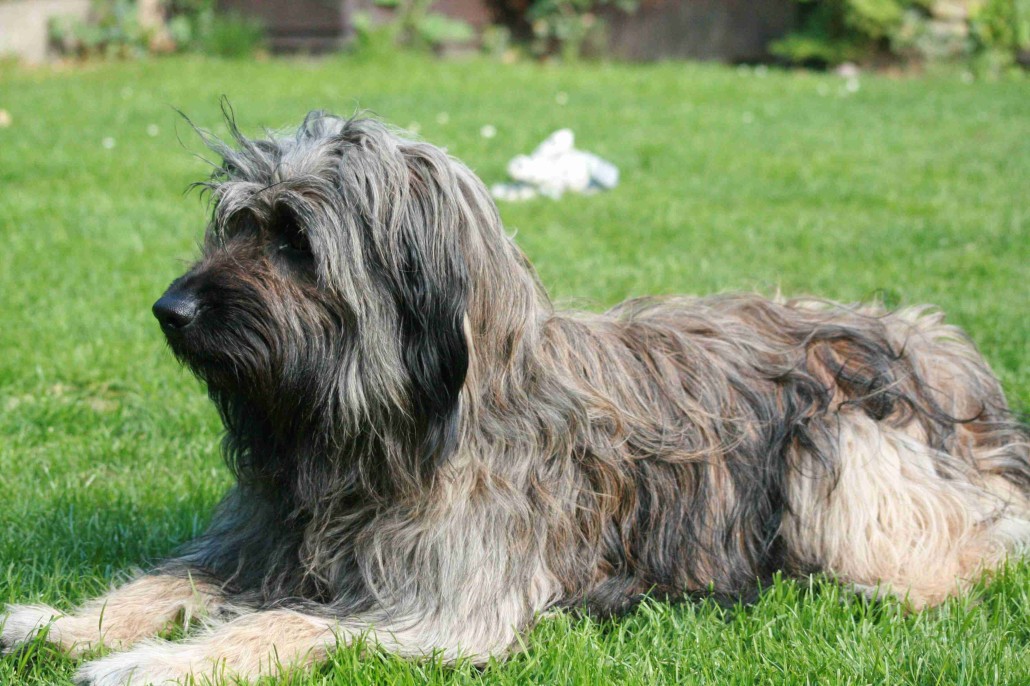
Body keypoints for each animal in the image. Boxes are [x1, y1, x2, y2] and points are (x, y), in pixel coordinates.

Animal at [2, 109, 1030, 679]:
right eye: (234, 225)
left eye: (292, 240)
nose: (168, 310)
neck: (372, 443)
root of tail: (943, 347)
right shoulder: (260, 545)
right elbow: (168, 580)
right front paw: (57, 622)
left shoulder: (446, 608)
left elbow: (286, 623)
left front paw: (155, 663)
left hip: (842, 449)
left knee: (967, 554)